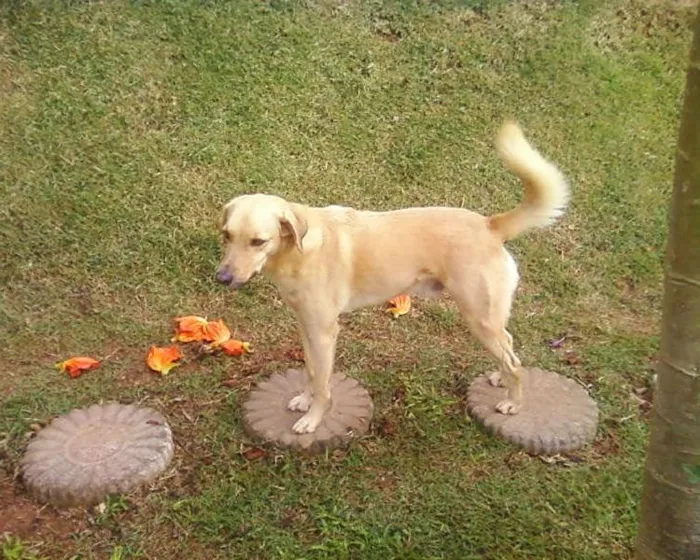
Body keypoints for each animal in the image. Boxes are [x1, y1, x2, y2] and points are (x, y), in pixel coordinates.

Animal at [217, 122, 568, 436]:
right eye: (227, 235)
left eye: (258, 241)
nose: (222, 277)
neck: (298, 251)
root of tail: (489, 224)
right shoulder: (306, 327)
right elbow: (312, 371)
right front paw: (305, 400)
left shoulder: (325, 333)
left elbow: (323, 384)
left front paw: (313, 418)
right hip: (489, 320)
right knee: (509, 346)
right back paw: (500, 379)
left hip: (479, 318)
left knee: (514, 362)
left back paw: (513, 402)